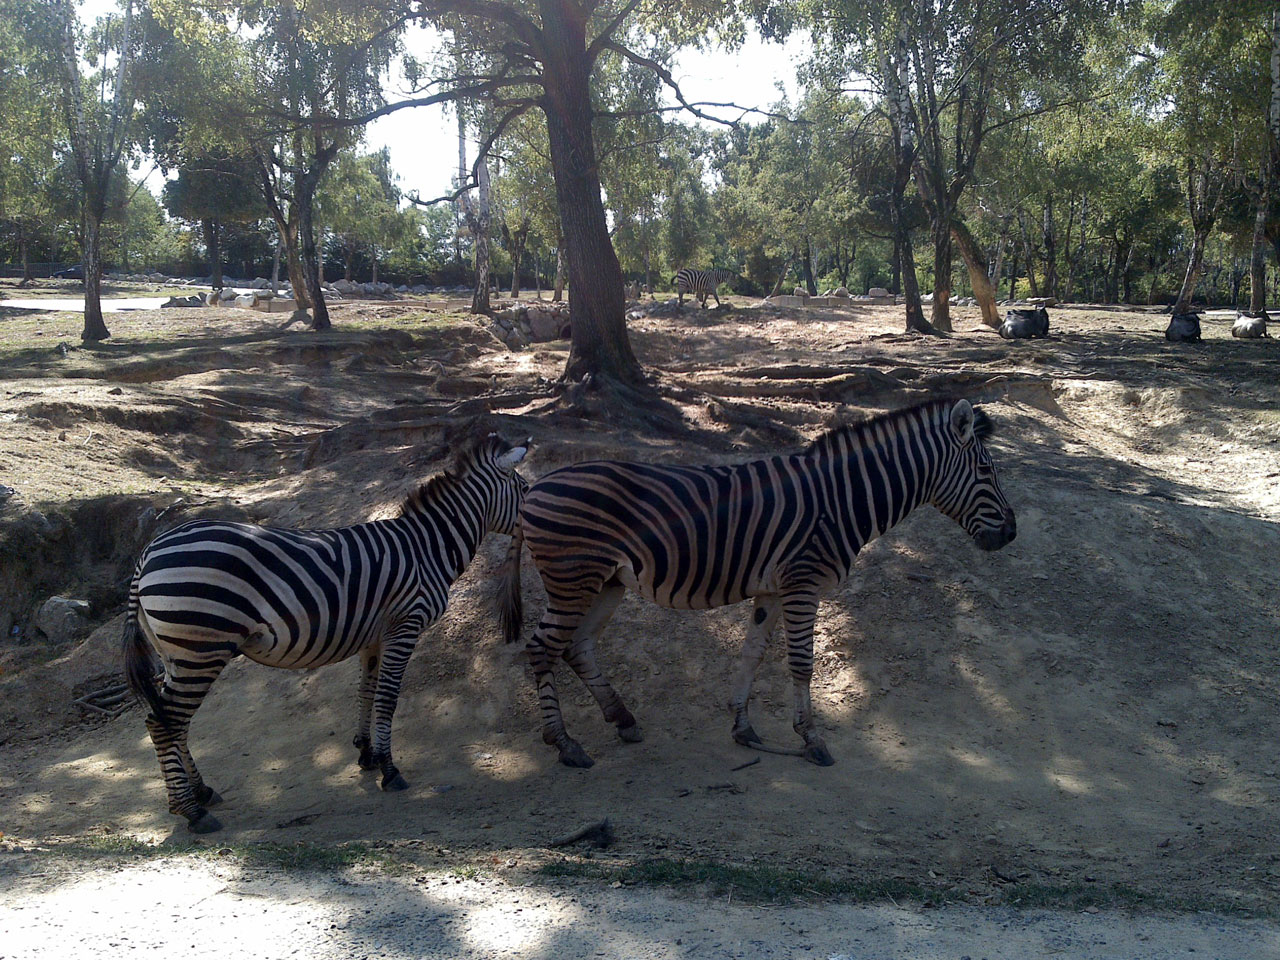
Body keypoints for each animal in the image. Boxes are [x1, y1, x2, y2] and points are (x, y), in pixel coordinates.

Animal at [123, 435, 529, 834]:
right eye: (525, 489)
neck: (426, 548)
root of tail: (147, 553)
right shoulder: (404, 626)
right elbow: (388, 699)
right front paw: (390, 769)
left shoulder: (374, 636)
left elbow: (366, 692)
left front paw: (366, 753)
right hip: (200, 649)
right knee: (164, 722)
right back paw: (191, 811)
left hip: (176, 653)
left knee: (173, 722)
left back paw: (202, 791)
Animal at [504, 401, 1013, 773]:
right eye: (987, 473)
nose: (1010, 534)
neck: (841, 499)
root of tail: (534, 488)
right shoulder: (803, 583)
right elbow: (802, 665)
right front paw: (812, 740)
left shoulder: (772, 591)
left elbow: (752, 654)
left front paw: (743, 728)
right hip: (573, 580)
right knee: (542, 647)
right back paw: (565, 743)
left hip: (606, 581)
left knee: (577, 646)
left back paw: (622, 719)